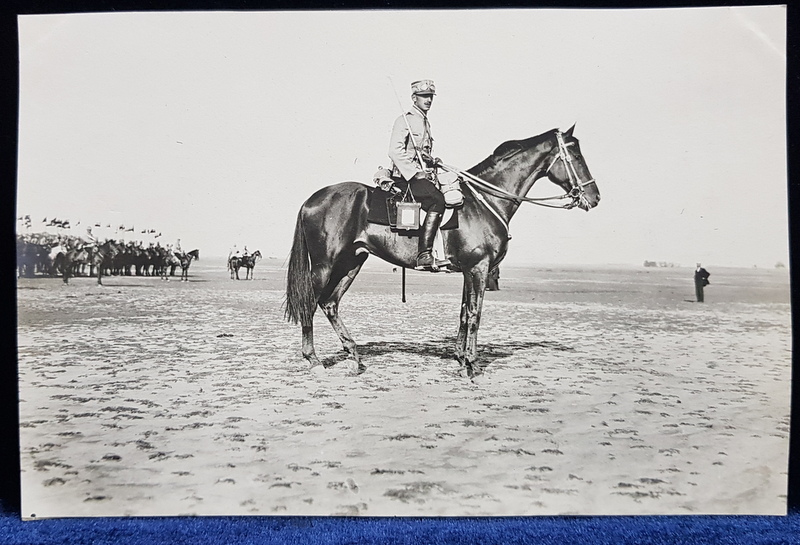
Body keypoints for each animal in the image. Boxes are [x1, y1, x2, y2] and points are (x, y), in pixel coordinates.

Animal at [286, 125, 600, 376]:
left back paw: (353, 355)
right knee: (310, 304)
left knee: (330, 303)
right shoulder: (479, 269)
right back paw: (314, 361)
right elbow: (475, 314)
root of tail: (312, 199)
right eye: (576, 156)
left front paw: (461, 359)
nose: (594, 197)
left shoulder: (469, 271)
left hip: (351, 263)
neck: (485, 201)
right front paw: (472, 365)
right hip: (325, 266)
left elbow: (463, 313)